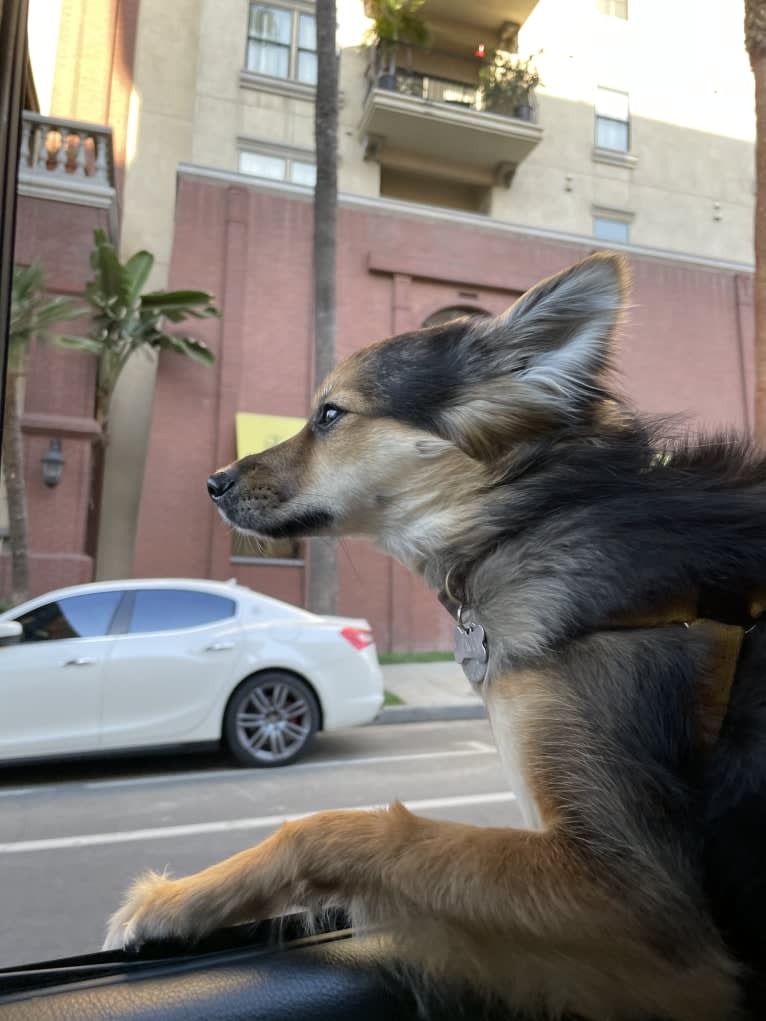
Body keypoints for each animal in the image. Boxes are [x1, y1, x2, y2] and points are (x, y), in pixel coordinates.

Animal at [105, 255, 766, 1021]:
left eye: (330, 414)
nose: (213, 483)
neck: (523, 519)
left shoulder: (638, 899)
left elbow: (340, 829)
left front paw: (173, 901)